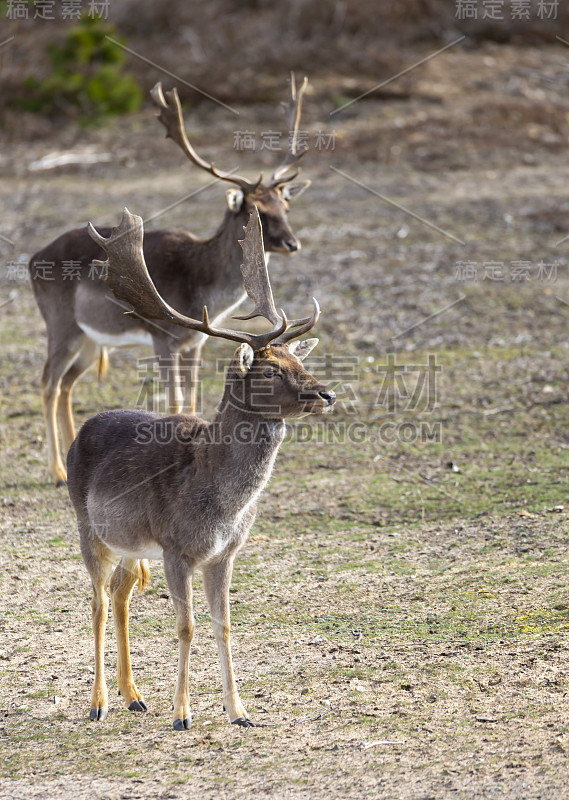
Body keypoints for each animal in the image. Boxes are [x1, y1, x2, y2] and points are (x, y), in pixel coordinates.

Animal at [30, 75, 310, 484]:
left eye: (285, 205)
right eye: (257, 209)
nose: (293, 243)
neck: (202, 287)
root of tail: (33, 257)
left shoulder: (195, 343)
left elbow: (192, 396)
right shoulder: (162, 335)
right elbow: (175, 398)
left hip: (90, 339)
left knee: (67, 384)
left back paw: (68, 458)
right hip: (61, 323)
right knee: (48, 381)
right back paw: (56, 470)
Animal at [67, 208, 336, 732]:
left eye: (296, 358)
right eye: (269, 370)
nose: (326, 393)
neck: (222, 501)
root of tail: (82, 429)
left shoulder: (225, 552)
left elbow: (224, 624)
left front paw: (240, 712)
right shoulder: (176, 547)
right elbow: (186, 625)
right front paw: (182, 714)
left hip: (132, 544)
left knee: (122, 594)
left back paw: (134, 696)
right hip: (89, 527)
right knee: (97, 601)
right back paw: (99, 702)